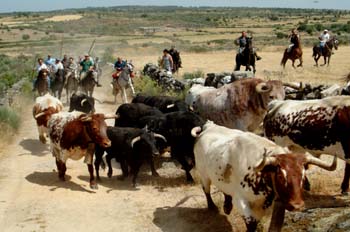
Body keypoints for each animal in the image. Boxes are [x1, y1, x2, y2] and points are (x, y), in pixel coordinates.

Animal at [191, 121, 336, 232]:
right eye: (280, 175)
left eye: (303, 176)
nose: (297, 206)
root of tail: (209, 126)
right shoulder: (241, 200)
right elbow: (251, 224)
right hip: (204, 174)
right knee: (206, 189)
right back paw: (212, 207)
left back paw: (227, 207)